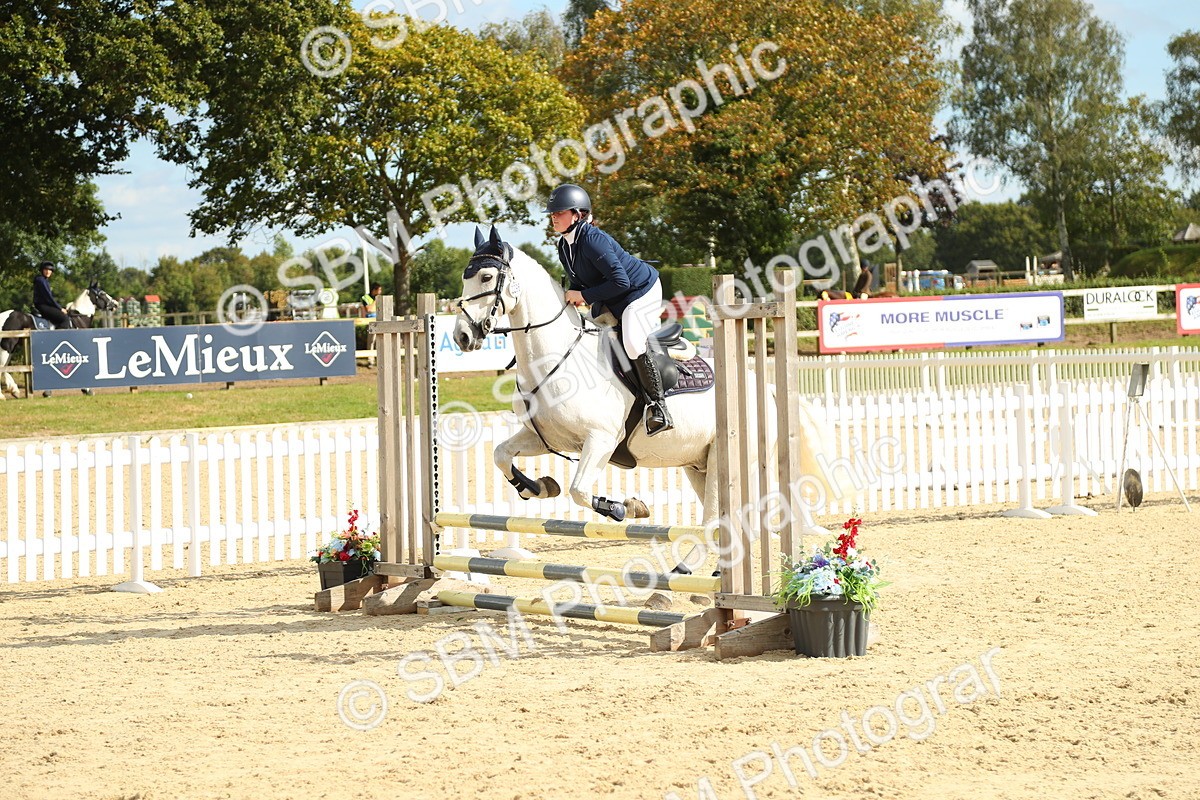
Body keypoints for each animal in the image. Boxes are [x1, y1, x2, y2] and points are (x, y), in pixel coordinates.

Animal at [452, 227, 830, 572]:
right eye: (465, 277)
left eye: (486, 276)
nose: (462, 336)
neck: (557, 357)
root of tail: (762, 386)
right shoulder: (544, 438)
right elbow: (502, 455)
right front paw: (538, 487)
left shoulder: (601, 440)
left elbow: (579, 490)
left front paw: (624, 507)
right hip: (698, 464)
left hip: (727, 460)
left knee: (716, 521)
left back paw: (684, 572)